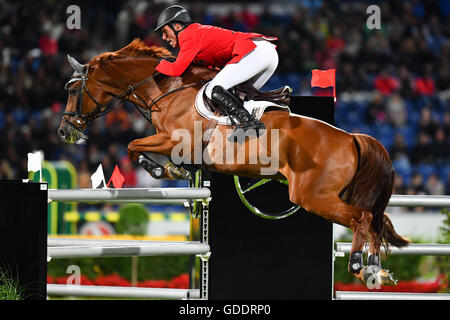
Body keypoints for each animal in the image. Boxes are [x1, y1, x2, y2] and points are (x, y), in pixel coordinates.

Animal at [58, 38, 410, 286]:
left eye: (73, 90)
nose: (64, 131)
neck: (168, 90)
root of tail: (351, 138)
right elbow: (135, 146)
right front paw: (168, 168)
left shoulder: (176, 141)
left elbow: (133, 146)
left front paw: (161, 168)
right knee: (376, 220)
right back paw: (375, 270)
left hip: (313, 196)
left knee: (363, 218)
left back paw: (358, 265)